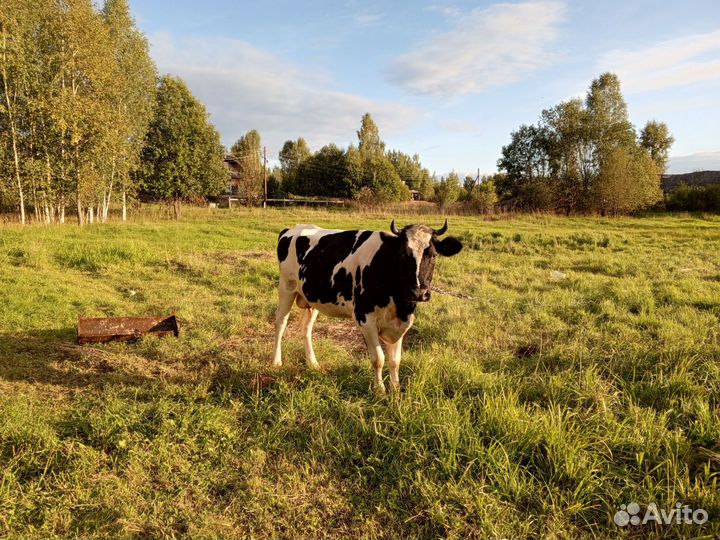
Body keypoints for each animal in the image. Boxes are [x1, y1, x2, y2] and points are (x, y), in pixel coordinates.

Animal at [271, 219, 463, 393]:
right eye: (403, 255)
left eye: (433, 255)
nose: (418, 293)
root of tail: (293, 228)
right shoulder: (365, 318)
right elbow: (378, 358)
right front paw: (380, 391)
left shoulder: (401, 323)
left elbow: (395, 360)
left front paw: (396, 390)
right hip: (286, 288)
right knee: (281, 322)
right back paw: (276, 361)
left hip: (311, 298)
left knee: (306, 328)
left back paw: (312, 363)